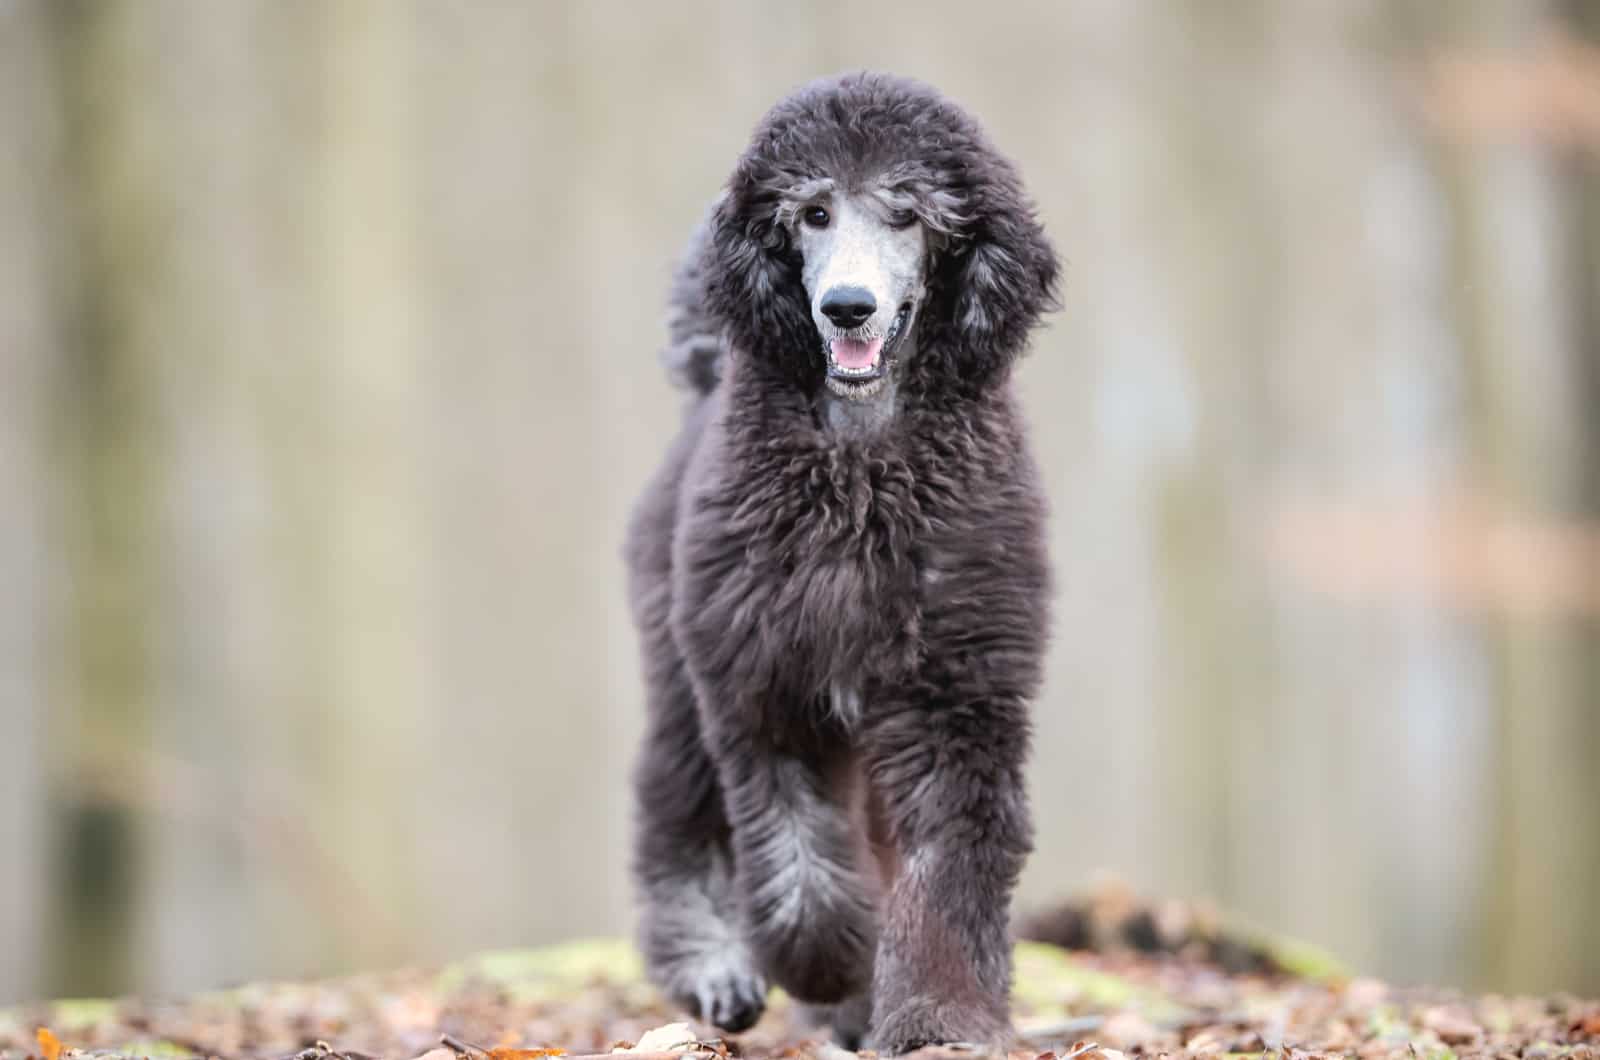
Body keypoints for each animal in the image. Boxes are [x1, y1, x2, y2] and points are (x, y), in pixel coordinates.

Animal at [624, 70, 1062, 1056]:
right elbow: (800, 868)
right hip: (678, 659)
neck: (860, 472)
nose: (849, 307)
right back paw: (712, 967)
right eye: (814, 211)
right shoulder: (761, 683)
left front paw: (934, 1018)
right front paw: (832, 967)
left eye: (907, 211)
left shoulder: (953, 690)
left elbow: (945, 863)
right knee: (674, 810)